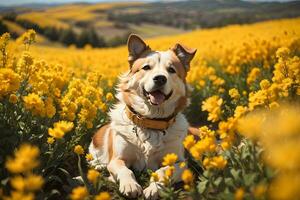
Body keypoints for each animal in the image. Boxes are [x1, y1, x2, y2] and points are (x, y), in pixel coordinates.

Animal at [88, 34, 197, 198]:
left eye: (171, 70)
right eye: (146, 67)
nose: (160, 78)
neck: (151, 121)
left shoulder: (181, 163)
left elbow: (162, 171)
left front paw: (153, 188)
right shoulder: (117, 159)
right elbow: (125, 170)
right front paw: (130, 185)